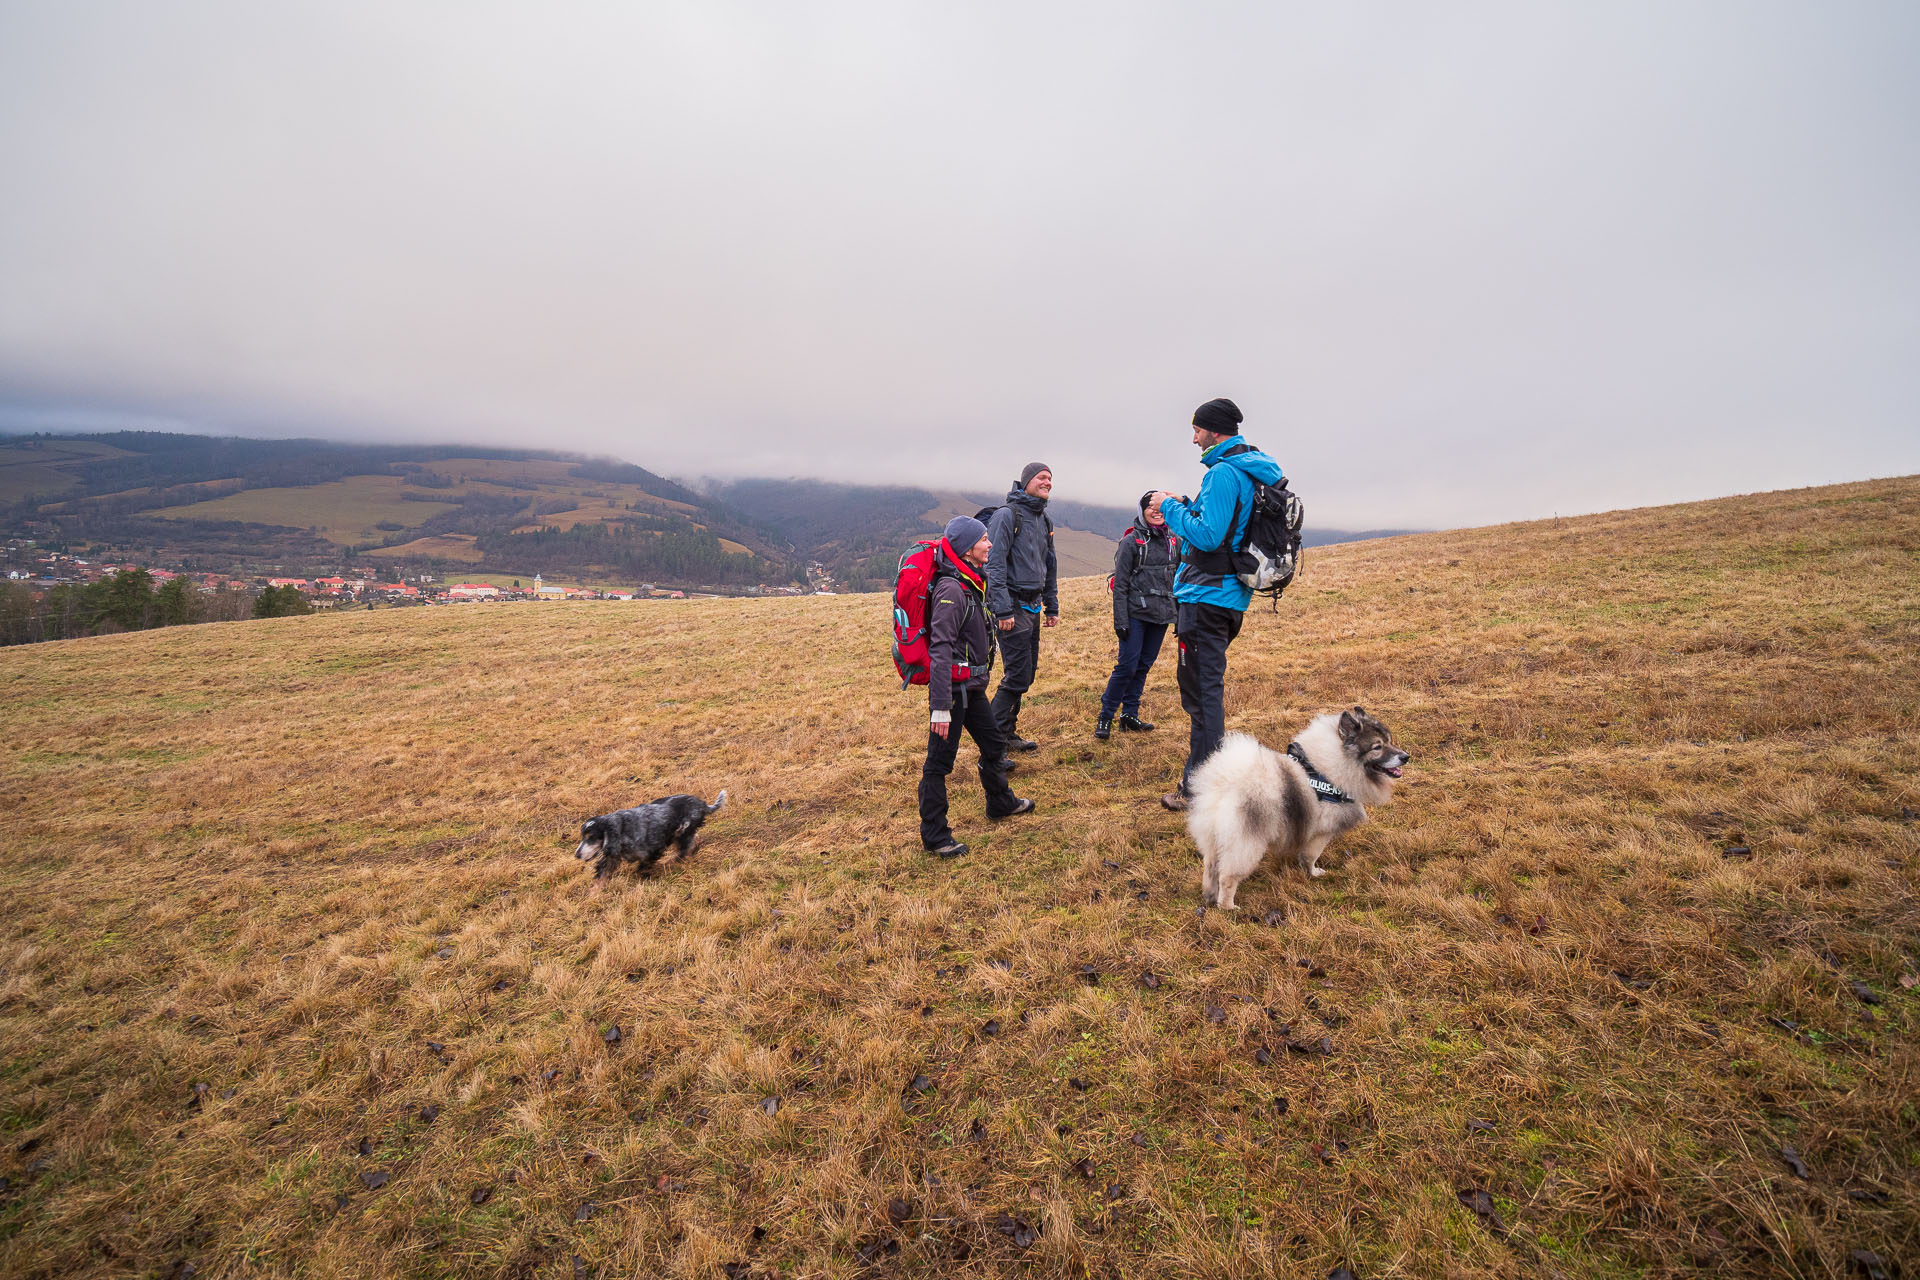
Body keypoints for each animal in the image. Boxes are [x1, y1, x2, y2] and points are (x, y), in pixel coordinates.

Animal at [576, 786, 725, 886]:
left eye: (590, 837)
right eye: (583, 837)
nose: (577, 855)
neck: (622, 829)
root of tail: (702, 804)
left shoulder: (653, 849)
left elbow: (643, 867)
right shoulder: (611, 857)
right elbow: (601, 875)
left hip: (682, 831)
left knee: (683, 850)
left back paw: (670, 862)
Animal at [1182, 710, 1413, 909]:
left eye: (1389, 741)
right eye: (1377, 747)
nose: (1405, 756)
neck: (1332, 770)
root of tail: (1224, 782)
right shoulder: (1321, 833)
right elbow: (1310, 856)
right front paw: (1313, 873)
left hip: (1213, 837)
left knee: (1210, 867)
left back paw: (1209, 896)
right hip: (1246, 844)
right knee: (1228, 877)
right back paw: (1227, 906)